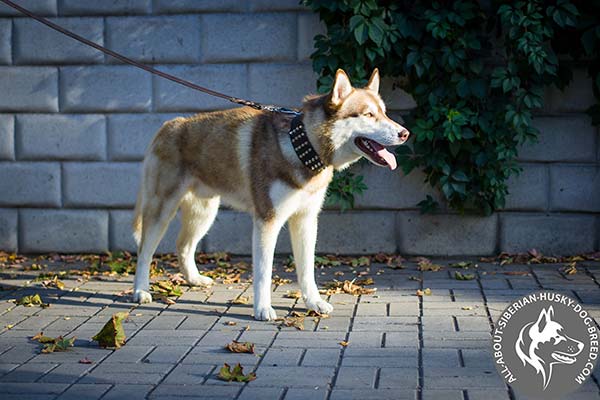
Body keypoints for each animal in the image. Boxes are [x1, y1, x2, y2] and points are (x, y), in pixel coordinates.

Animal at [132, 68, 408, 318]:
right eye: (369, 115)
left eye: (384, 113)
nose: (405, 133)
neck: (302, 146)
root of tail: (168, 125)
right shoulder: (268, 221)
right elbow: (264, 273)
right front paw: (263, 309)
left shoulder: (306, 220)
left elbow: (306, 270)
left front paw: (314, 303)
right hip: (162, 209)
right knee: (145, 251)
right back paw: (140, 291)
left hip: (204, 212)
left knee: (184, 246)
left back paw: (194, 279)